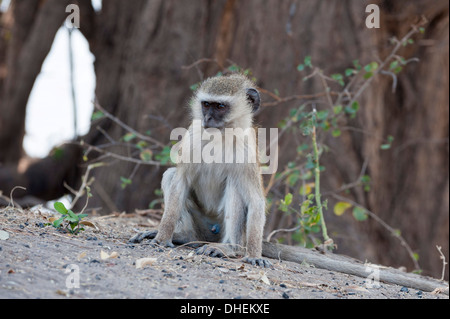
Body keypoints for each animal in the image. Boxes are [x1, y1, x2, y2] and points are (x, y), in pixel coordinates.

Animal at [130, 74, 270, 268]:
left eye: (220, 106)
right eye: (206, 104)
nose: (208, 118)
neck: (221, 136)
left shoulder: (247, 148)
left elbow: (256, 200)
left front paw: (254, 254)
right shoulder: (192, 135)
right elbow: (180, 181)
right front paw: (162, 237)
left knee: (236, 186)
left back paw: (229, 247)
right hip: (201, 224)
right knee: (171, 175)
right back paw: (184, 235)